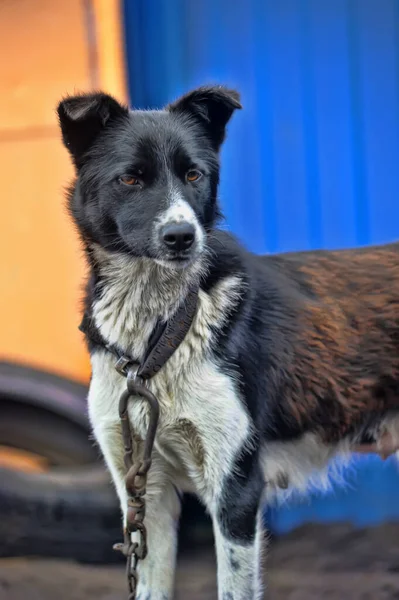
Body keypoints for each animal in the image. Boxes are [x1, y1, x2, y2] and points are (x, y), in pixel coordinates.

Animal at [58, 85, 399, 600]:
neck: (159, 334)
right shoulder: (145, 493)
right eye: (131, 178)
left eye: (194, 174)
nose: (182, 236)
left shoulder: (235, 486)